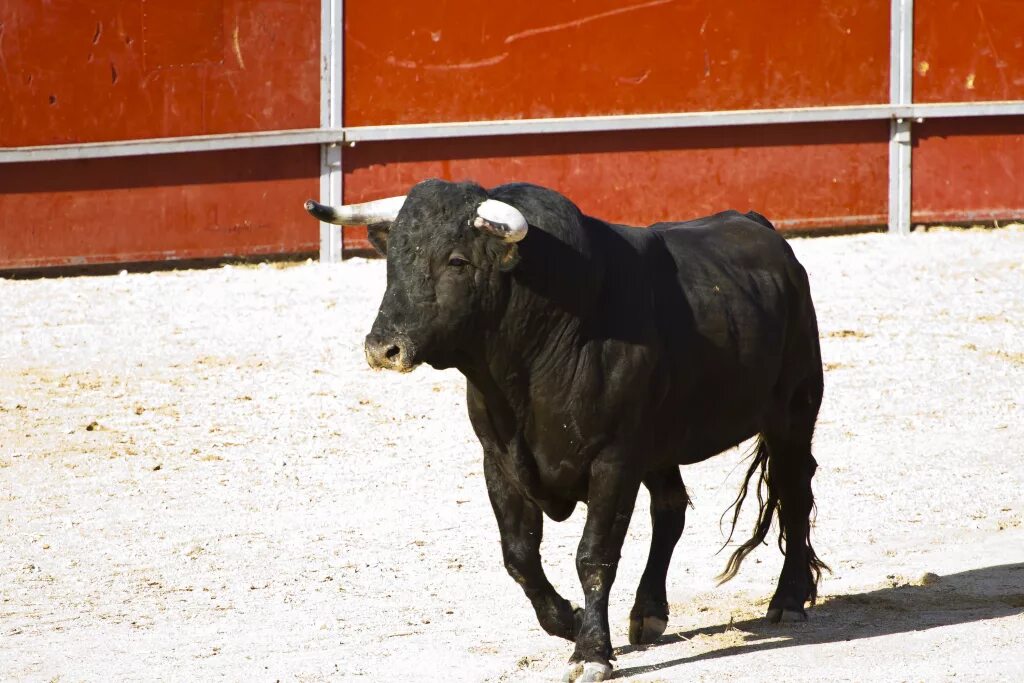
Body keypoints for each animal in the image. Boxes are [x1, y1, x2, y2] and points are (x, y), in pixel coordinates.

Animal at [307, 179, 827, 679]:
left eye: (456, 260)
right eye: (393, 260)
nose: (383, 348)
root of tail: (761, 226)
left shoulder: (613, 460)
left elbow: (594, 555)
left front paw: (591, 652)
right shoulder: (500, 459)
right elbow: (519, 556)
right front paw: (570, 621)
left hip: (793, 414)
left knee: (794, 495)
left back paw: (788, 599)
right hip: (660, 445)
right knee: (671, 508)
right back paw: (648, 612)